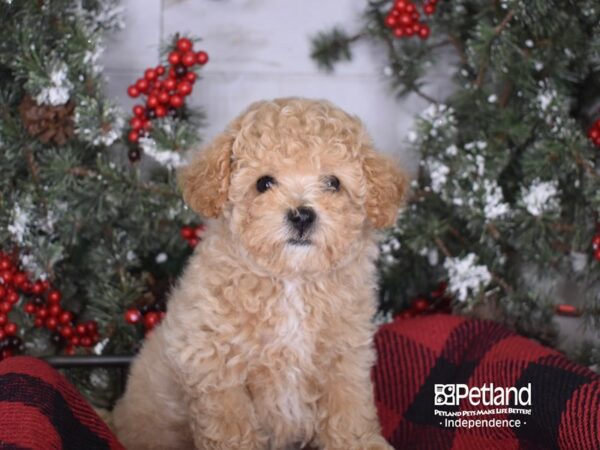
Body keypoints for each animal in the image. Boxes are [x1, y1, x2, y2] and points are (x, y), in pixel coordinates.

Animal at [113, 96, 408, 448]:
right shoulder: (215, 366)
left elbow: (348, 410)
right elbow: (232, 428)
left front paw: (360, 443)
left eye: (333, 183)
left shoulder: (344, 357)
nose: (301, 215)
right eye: (263, 183)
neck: (291, 279)